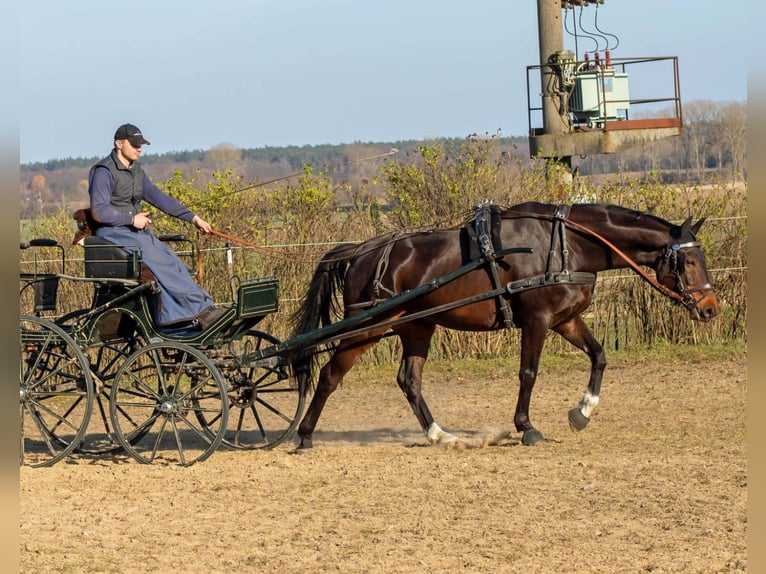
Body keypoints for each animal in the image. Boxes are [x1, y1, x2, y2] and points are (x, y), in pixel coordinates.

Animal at [286, 202, 720, 450]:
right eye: (690, 261)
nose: (711, 308)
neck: (563, 244)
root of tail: (362, 250)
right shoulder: (538, 320)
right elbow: (528, 373)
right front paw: (527, 427)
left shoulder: (566, 319)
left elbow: (599, 356)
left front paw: (582, 411)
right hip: (368, 328)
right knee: (329, 375)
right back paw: (304, 436)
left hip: (416, 327)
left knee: (409, 381)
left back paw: (439, 435)